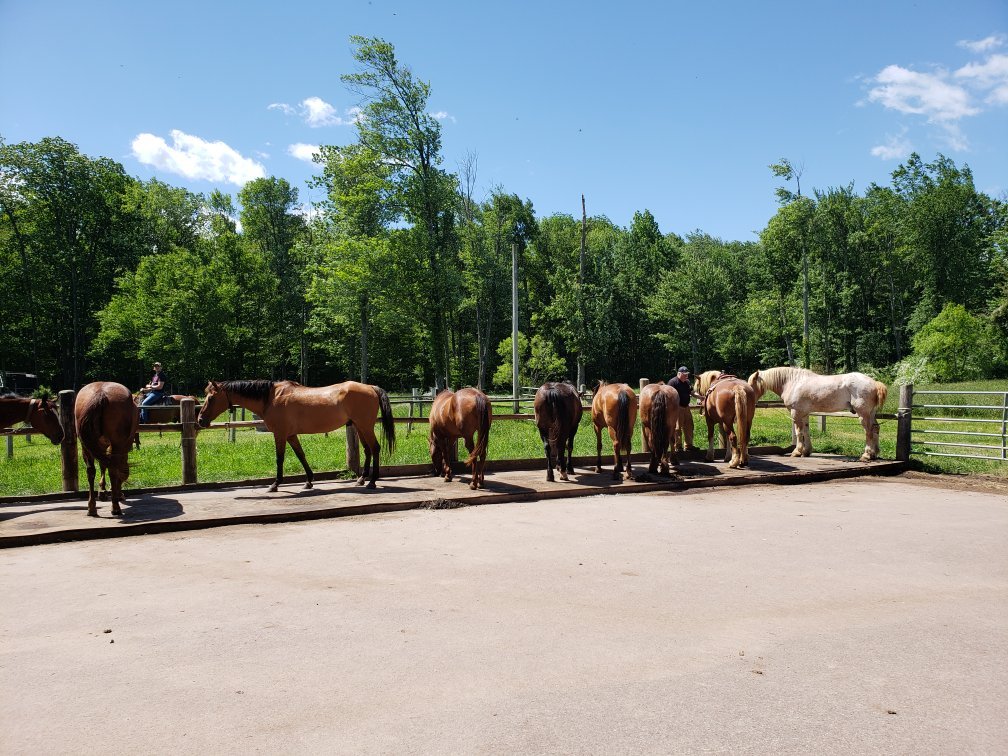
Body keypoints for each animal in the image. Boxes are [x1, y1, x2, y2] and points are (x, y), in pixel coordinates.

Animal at [75, 381, 140, 520]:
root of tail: (100, 393)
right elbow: (113, 468)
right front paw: (114, 492)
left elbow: (102, 465)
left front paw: (102, 490)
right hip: (116, 444)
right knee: (113, 469)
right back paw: (115, 507)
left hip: (85, 445)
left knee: (91, 471)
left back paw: (92, 508)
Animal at [195, 379, 393, 491]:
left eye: (211, 398)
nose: (200, 420)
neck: (271, 397)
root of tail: (370, 387)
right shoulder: (291, 435)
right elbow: (301, 455)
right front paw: (309, 481)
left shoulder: (280, 434)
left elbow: (279, 458)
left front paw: (275, 484)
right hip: (359, 426)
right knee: (368, 450)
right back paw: (361, 479)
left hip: (365, 426)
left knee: (375, 448)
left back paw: (372, 481)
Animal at [749, 366, 891, 461]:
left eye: (751, 384)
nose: (750, 400)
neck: (792, 382)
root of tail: (874, 383)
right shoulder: (804, 414)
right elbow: (806, 432)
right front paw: (806, 451)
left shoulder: (796, 413)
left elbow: (799, 433)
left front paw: (797, 452)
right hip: (871, 413)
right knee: (875, 429)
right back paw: (874, 454)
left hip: (863, 414)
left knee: (868, 431)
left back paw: (866, 455)